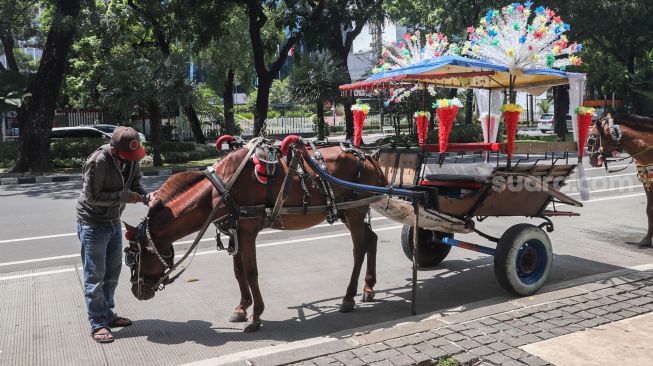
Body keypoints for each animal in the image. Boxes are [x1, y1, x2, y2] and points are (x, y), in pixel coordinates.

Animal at [123, 142, 388, 332]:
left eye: (134, 256)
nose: (137, 291)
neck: (220, 190)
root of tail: (369, 158)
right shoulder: (235, 232)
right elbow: (238, 271)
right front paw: (242, 308)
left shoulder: (247, 230)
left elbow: (251, 272)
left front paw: (256, 315)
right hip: (347, 211)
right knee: (372, 239)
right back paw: (369, 287)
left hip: (354, 211)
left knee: (359, 248)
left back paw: (349, 297)